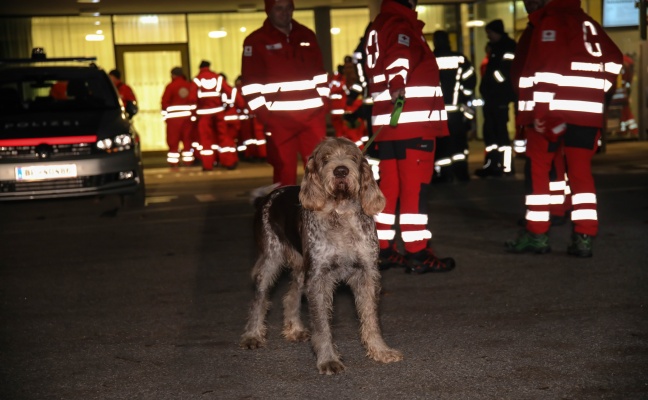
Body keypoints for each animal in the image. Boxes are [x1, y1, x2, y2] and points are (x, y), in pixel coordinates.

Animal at [240, 137, 402, 376]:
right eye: (325, 158)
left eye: (352, 157)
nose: (341, 170)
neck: (340, 212)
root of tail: (265, 199)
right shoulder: (318, 277)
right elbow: (322, 324)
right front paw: (328, 359)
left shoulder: (366, 274)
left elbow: (371, 318)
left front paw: (380, 350)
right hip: (270, 261)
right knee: (259, 299)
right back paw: (252, 334)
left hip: (301, 269)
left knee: (290, 296)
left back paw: (294, 330)